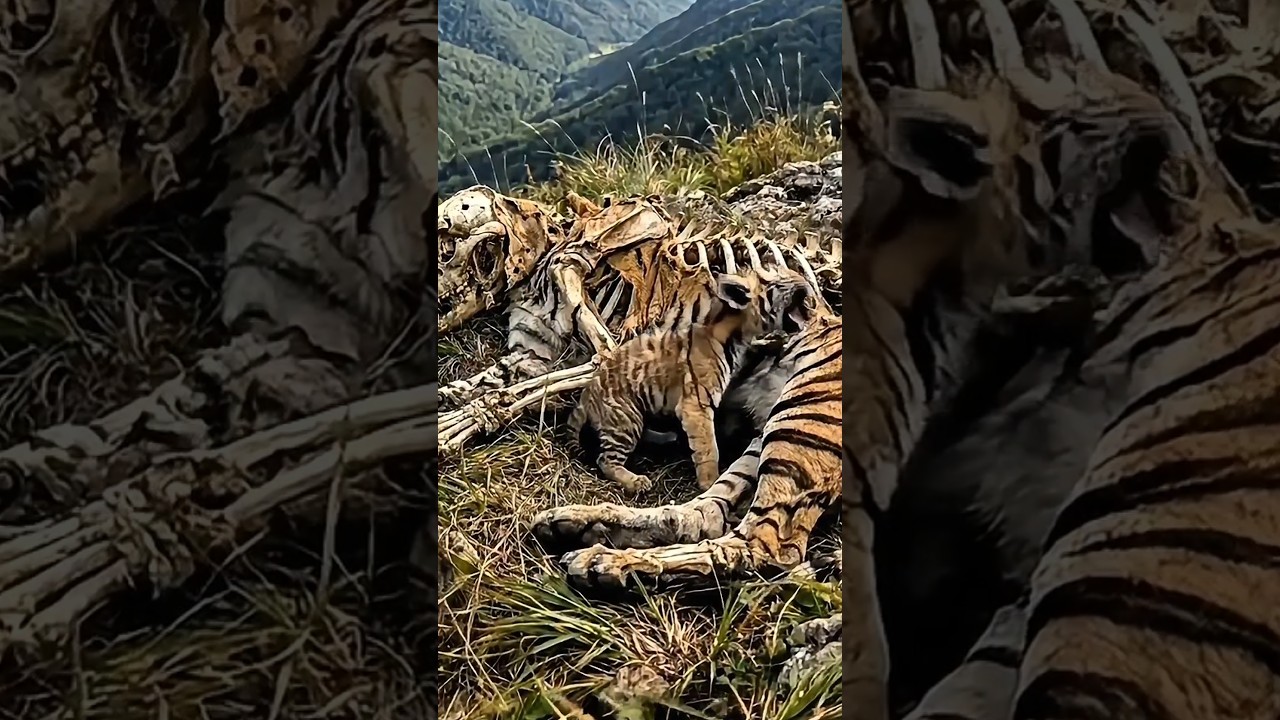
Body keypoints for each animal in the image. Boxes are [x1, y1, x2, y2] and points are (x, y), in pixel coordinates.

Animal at [568, 266, 815, 493]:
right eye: (778, 281)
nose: (805, 280)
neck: (735, 335)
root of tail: (586, 396)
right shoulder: (696, 404)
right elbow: (709, 448)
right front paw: (710, 482)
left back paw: (667, 437)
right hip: (627, 419)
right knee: (605, 460)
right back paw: (637, 481)